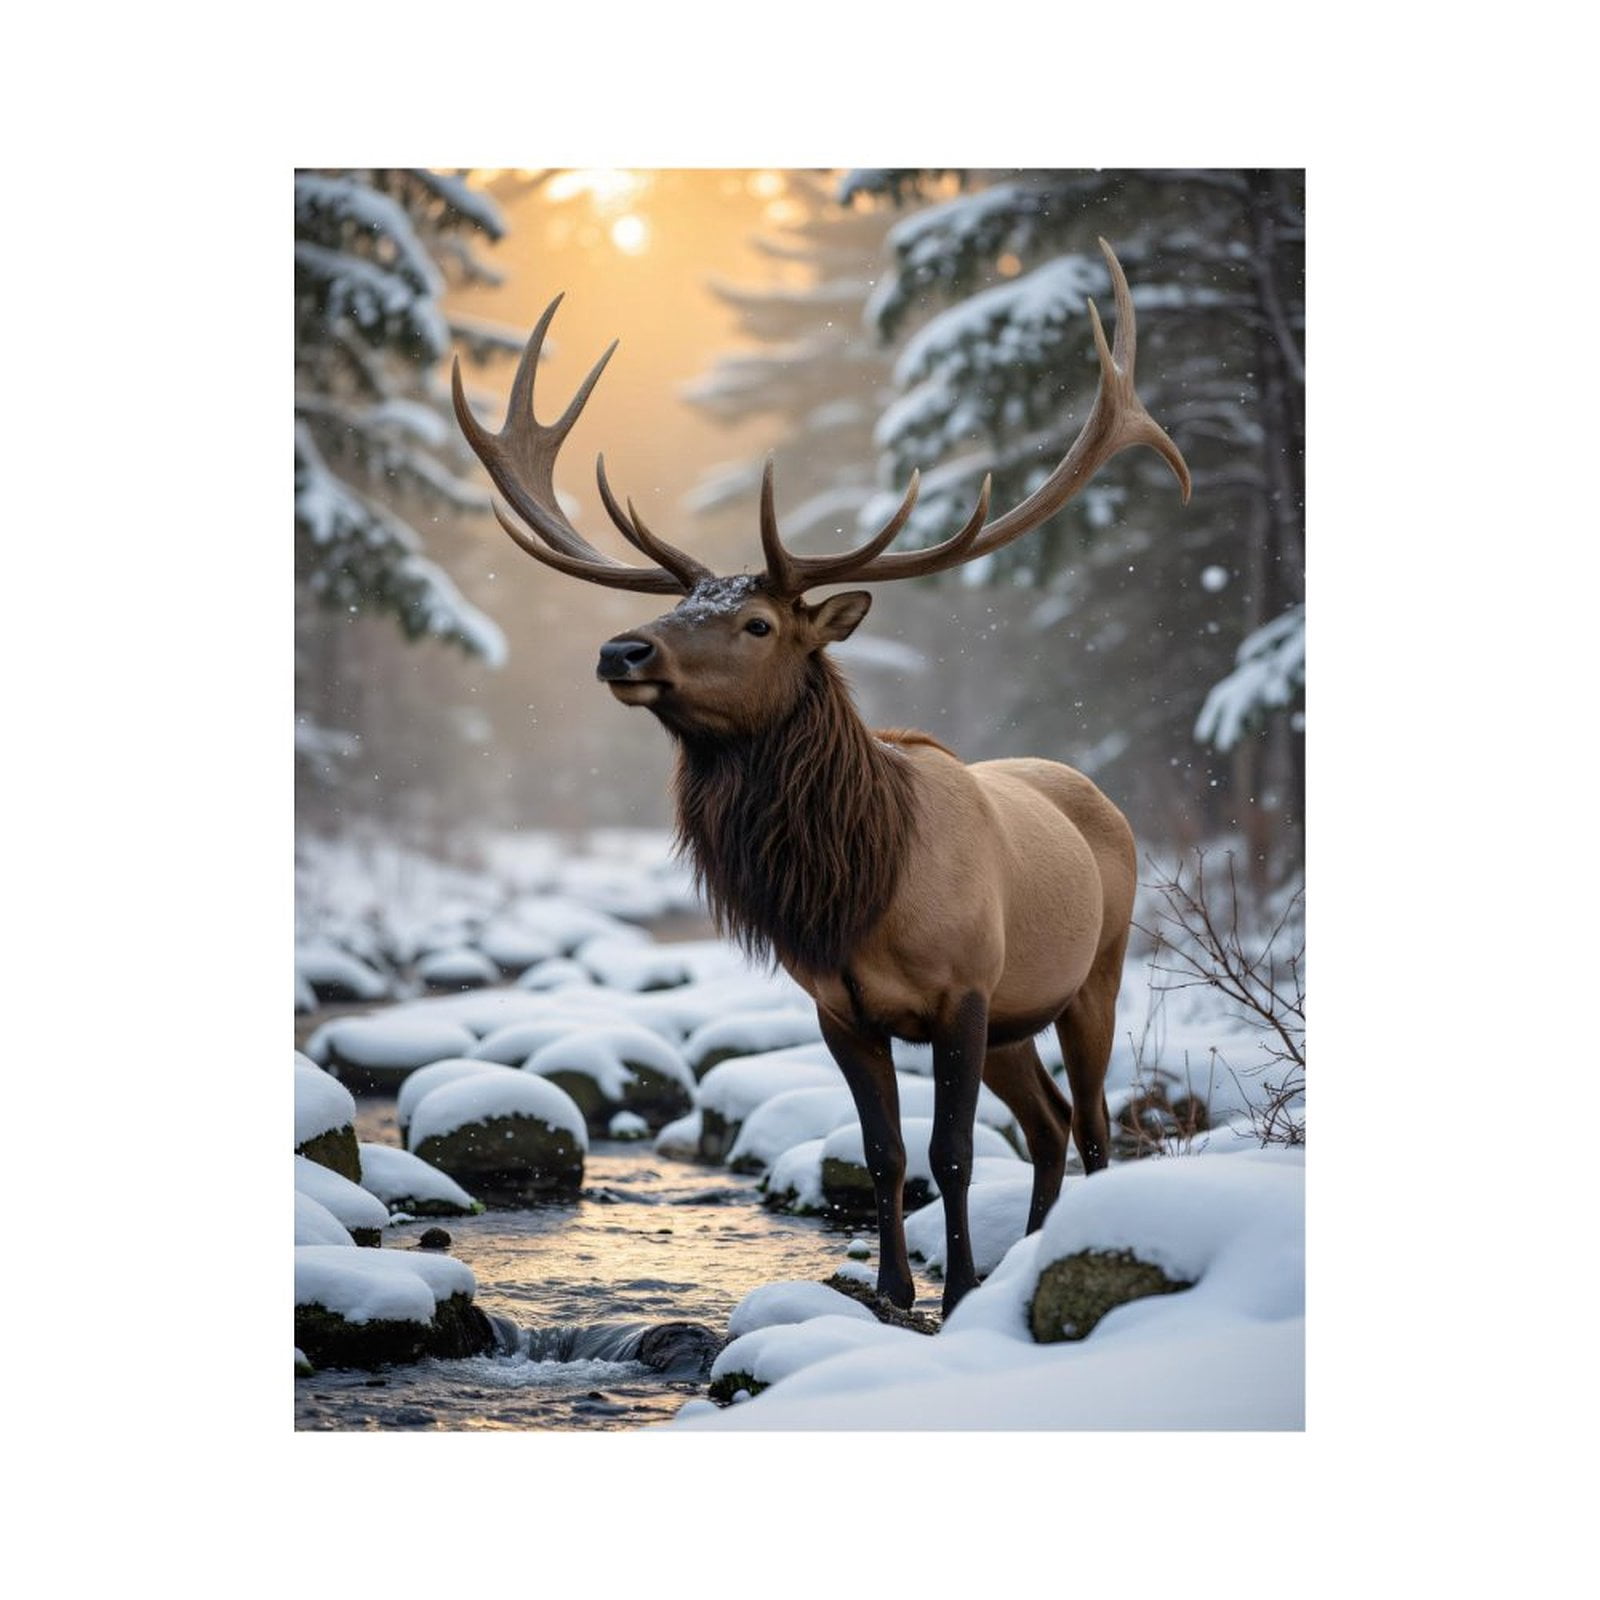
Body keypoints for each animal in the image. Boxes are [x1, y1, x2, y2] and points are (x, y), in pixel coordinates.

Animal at [453, 239, 1190, 1317]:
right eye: (683, 607)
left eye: (757, 622)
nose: (622, 649)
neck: (859, 886)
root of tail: (1101, 799)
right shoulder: (840, 1006)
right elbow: (886, 1153)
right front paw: (891, 1291)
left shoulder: (965, 990)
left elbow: (952, 1151)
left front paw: (955, 1297)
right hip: (1020, 1016)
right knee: (1050, 1123)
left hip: (1093, 970)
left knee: (1094, 1124)